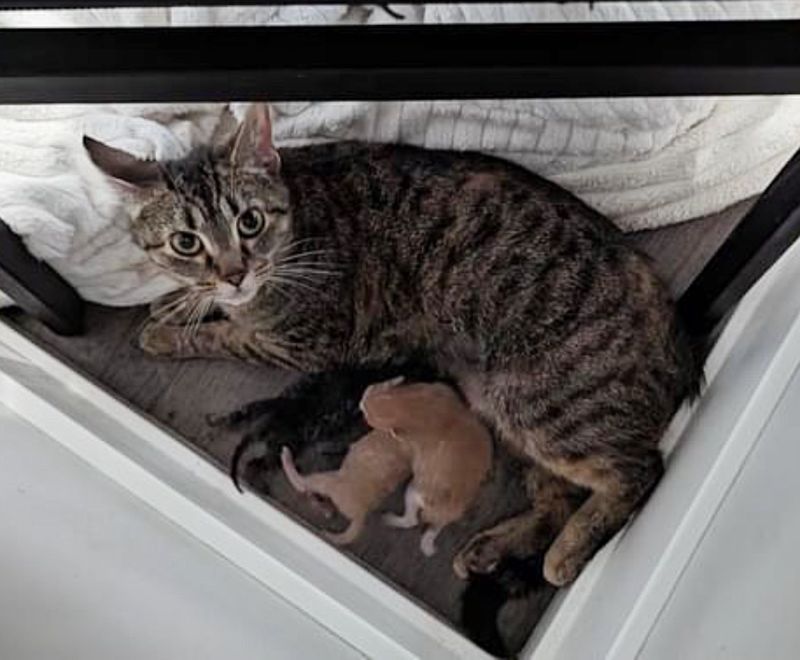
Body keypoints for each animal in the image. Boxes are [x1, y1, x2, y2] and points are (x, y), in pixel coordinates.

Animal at [84, 103, 704, 588]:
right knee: (559, 497)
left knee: (638, 472)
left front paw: (169, 329)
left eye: (250, 222)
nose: (235, 273)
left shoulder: (304, 343)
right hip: (513, 420)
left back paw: (565, 555)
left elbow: (228, 335)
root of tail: (673, 322)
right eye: (186, 242)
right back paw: (495, 546)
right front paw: (178, 300)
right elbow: (204, 301)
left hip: (545, 406)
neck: (299, 215)